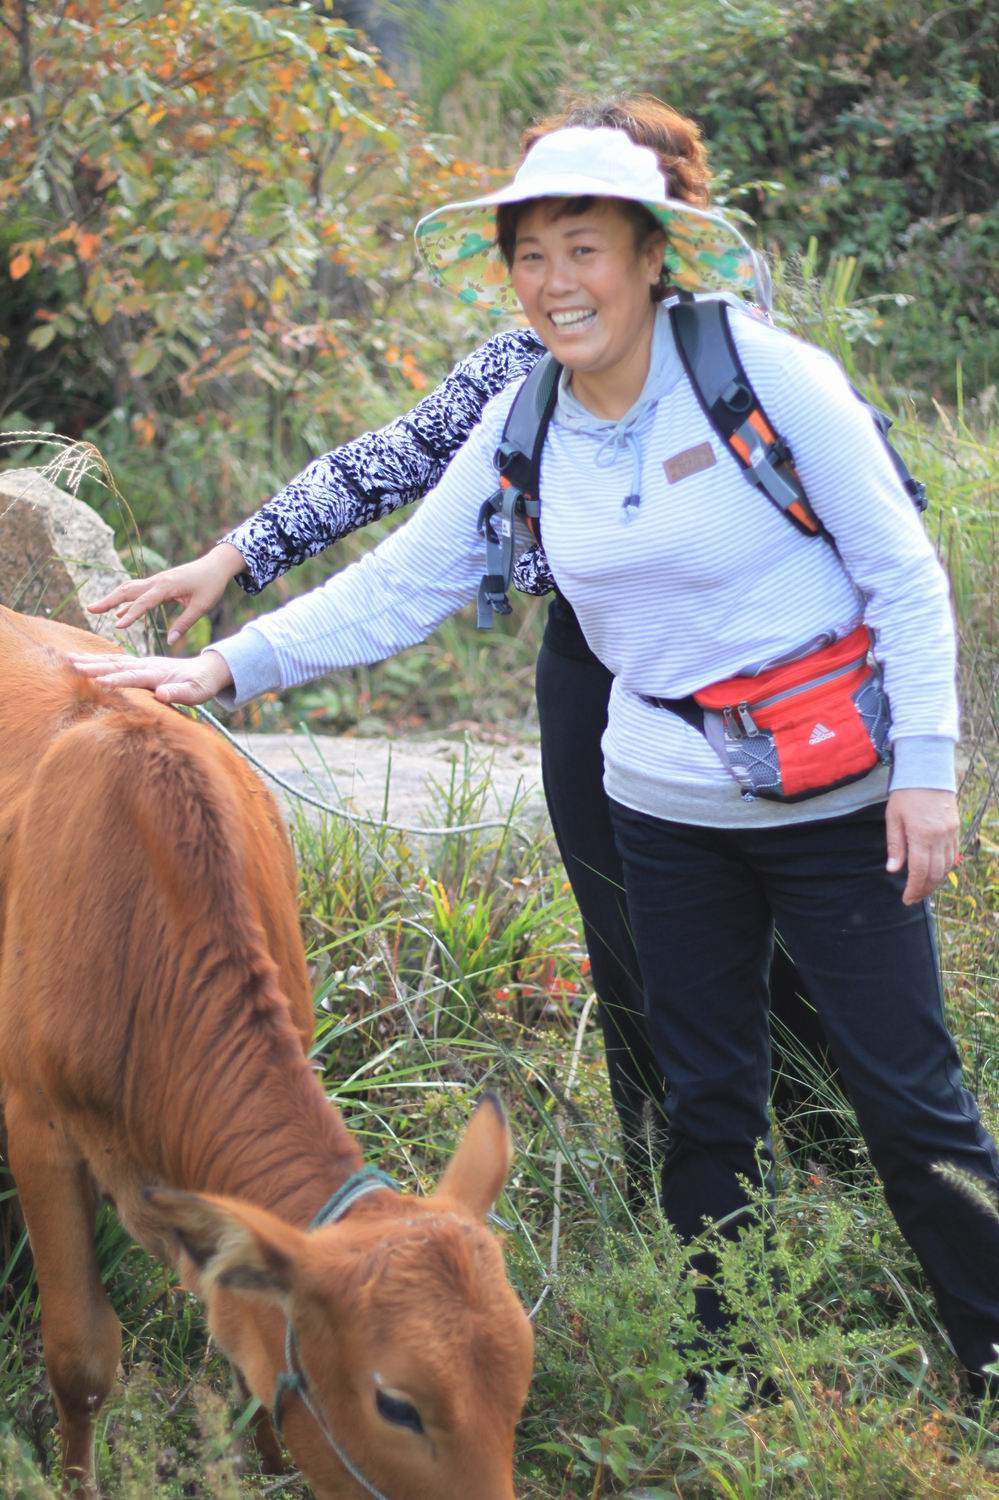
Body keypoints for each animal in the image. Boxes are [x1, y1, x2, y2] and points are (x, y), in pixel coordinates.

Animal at [0, 606, 534, 1500]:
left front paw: (271, 1467)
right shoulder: (37, 1129)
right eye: (397, 1405)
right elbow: (81, 1357)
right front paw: (76, 1482)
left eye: (522, 1376)